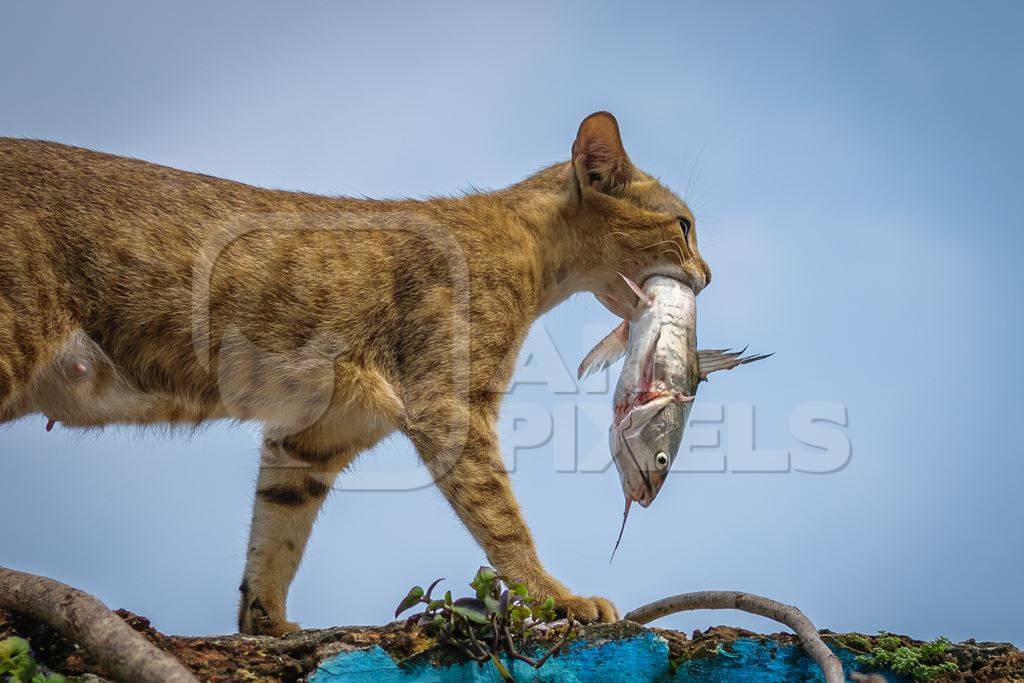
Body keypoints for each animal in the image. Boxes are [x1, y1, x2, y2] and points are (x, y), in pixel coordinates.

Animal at [0, 113, 708, 634]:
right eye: (684, 225)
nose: (707, 274)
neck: (532, 256)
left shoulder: (313, 437)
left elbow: (275, 540)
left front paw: (268, 626)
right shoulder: (449, 406)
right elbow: (503, 521)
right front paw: (560, 599)